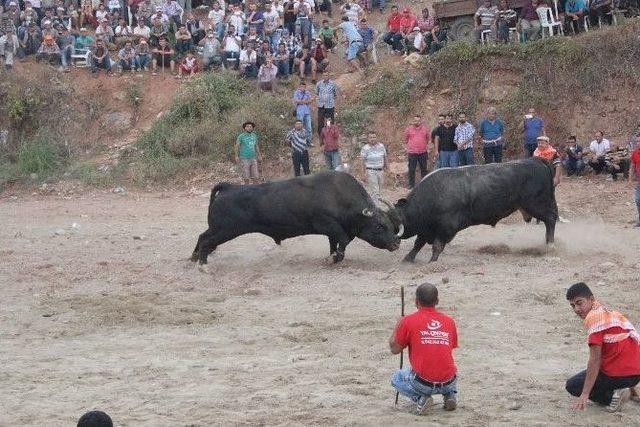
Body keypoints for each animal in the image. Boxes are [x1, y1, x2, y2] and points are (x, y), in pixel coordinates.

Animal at [190, 171, 402, 264]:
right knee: (206, 240)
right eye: (379, 226)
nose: (395, 243)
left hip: (218, 228)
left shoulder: (332, 232)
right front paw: (334, 258)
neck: (338, 195)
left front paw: (333, 257)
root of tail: (229, 187)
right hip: (226, 230)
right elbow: (342, 241)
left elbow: (335, 244)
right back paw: (203, 265)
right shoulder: (328, 225)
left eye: (391, 225)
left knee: (202, 237)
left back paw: (194, 259)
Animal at [396, 159, 560, 262]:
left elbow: (436, 246)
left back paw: (550, 245)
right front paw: (407, 258)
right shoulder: (426, 229)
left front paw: (432, 262)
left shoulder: (446, 229)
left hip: (538, 204)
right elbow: (418, 244)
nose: (393, 245)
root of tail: (537, 161)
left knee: (551, 219)